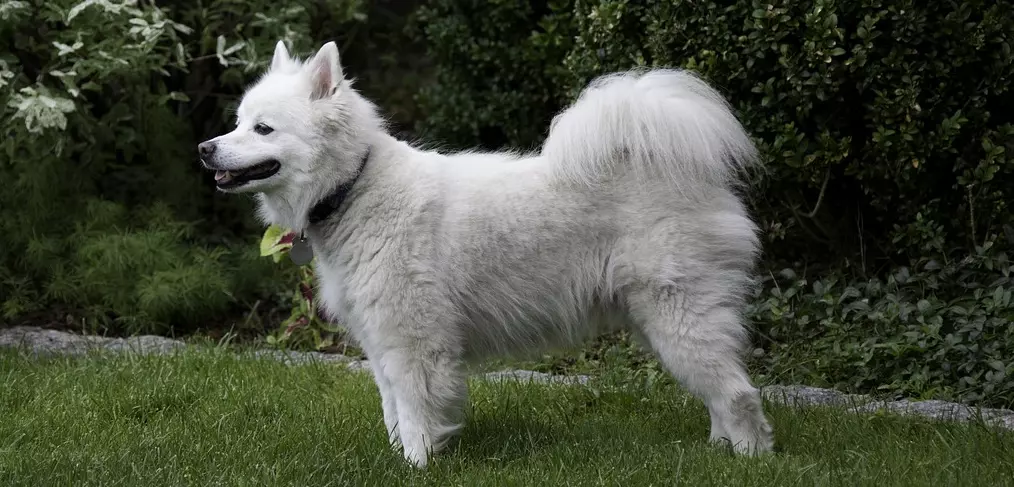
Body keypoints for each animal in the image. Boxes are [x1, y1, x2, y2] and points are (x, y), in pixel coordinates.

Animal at [199, 40, 774, 466]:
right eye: (237, 121)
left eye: (263, 128)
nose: (205, 148)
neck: (354, 187)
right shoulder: (381, 342)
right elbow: (391, 409)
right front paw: (397, 458)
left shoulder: (413, 343)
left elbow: (414, 413)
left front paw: (416, 465)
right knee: (721, 393)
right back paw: (718, 449)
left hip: (680, 318)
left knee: (739, 394)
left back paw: (748, 458)